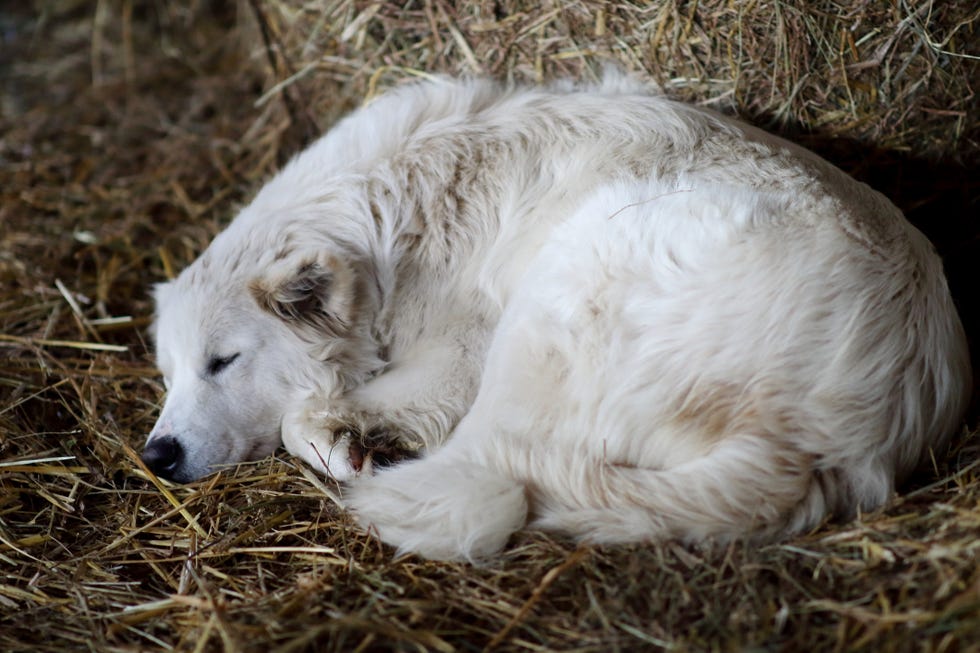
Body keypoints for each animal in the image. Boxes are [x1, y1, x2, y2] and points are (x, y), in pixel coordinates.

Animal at [145, 75, 972, 556]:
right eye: (170, 372)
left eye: (224, 360)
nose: (157, 455)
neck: (392, 220)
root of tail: (811, 440)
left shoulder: (460, 353)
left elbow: (301, 416)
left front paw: (345, 439)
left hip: (564, 286)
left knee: (485, 472)